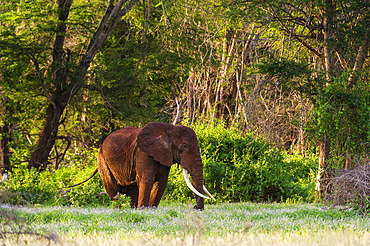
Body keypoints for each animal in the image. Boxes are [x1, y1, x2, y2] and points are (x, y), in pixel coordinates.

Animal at [69, 121, 214, 209]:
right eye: (184, 146)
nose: (195, 208)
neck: (169, 128)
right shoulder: (143, 154)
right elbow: (147, 179)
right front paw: (144, 209)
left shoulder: (164, 156)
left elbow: (161, 182)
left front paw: (150, 209)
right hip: (102, 161)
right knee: (113, 189)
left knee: (132, 190)